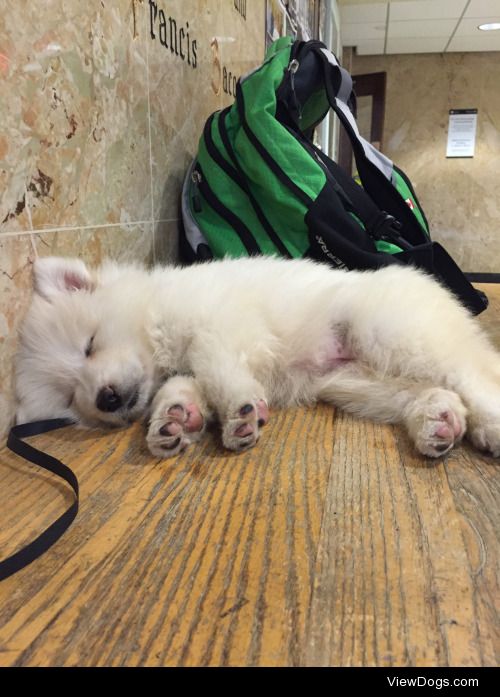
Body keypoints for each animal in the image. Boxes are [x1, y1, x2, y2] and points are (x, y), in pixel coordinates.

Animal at [13, 254, 500, 456]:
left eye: (90, 344)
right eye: (71, 396)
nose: (107, 398)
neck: (156, 314)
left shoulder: (222, 326)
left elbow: (217, 369)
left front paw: (239, 412)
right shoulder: (187, 364)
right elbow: (183, 388)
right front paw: (173, 421)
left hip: (390, 332)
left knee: (473, 378)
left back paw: (488, 427)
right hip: (359, 384)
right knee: (441, 393)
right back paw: (437, 424)